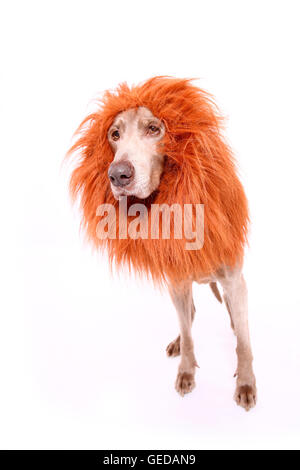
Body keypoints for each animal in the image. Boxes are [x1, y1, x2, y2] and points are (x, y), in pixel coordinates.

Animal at [69, 77, 256, 412]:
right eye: (114, 135)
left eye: (154, 129)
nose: (117, 174)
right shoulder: (177, 280)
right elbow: (189, 331)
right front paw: (186, 371)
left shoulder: (234, 280)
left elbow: (244, 344)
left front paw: (246, 383)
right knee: (188, 316)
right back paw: (180, 342)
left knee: (232, 320)